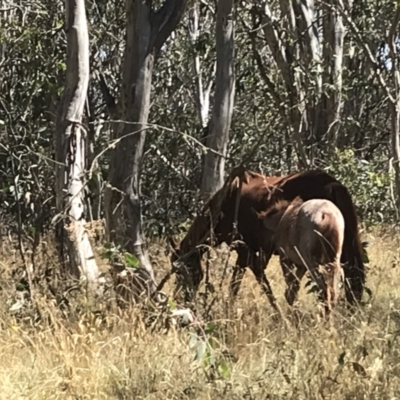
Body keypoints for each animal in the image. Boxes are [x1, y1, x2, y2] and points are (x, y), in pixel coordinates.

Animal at [169, 168, 366, 310]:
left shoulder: (245, 249)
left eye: (181, 272)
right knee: (351, 281)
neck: (225, 205)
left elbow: (244, 283)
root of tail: (333, 184)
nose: (181, 300)